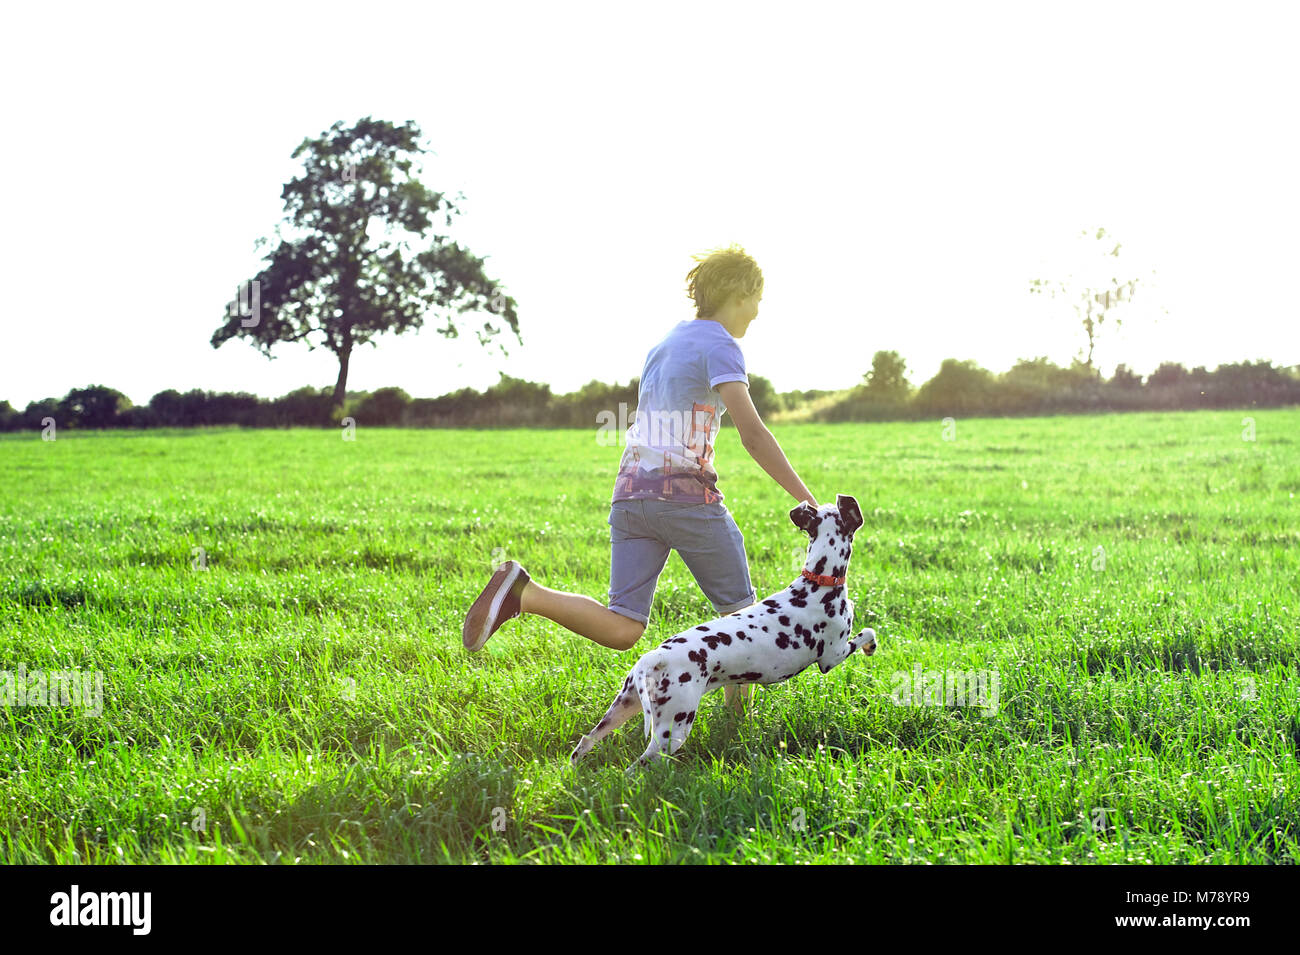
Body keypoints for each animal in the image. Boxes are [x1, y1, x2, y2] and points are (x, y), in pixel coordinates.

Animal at [574, 496, 878, 774]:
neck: (816, 583)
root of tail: (654, 658)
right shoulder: (833, 656)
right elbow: (867, 632)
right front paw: (870, 646)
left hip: (623, 706)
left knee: (585, 742)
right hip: (672, 729)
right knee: (637, 767)